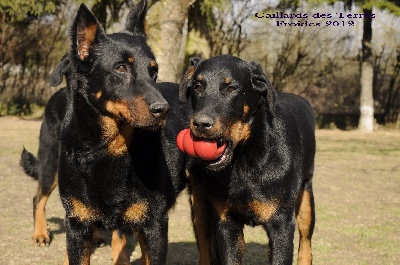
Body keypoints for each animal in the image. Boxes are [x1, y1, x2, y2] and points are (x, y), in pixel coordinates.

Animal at [20, 1, 186, 262]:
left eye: (154, 71)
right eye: (121, 68)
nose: (164, 109)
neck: (106, 149)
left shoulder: (154, 225)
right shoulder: (77, 225)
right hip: (49, 163)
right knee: (39, 198)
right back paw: (40, 234)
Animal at [179, 54, 316, 264]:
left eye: (231, 88)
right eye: (197, 86)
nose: (201, 124)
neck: (245, 160)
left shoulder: (281, 225)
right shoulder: (227, 223)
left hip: (306, 198)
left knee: (306, 244)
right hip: (200, 206)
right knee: (205, 247)